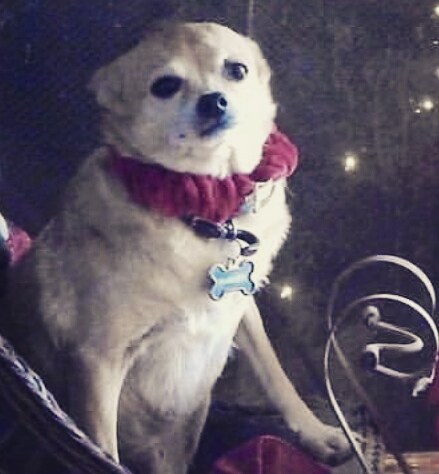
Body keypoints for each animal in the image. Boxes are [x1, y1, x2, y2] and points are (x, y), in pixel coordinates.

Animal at [3, 22, 351, 473]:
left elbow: (275, 373)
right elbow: (101, 443)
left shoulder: (242, 310)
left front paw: (316, 433)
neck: (206, 208)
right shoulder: (97, 361)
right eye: (165, 86)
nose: (214, 100)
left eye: (236, 70)